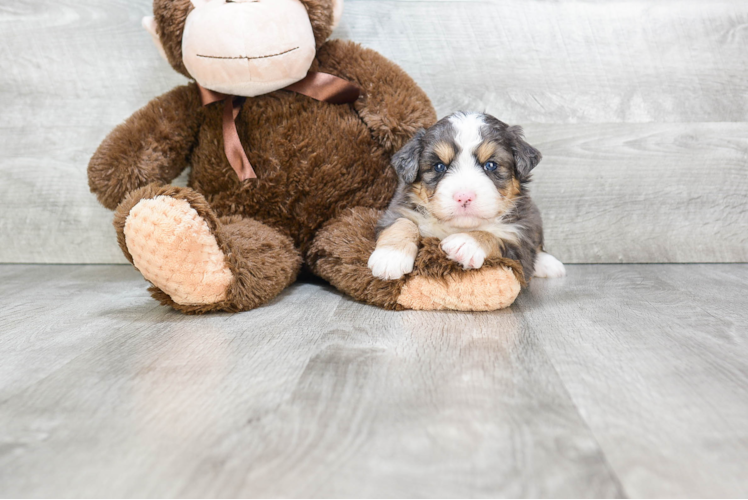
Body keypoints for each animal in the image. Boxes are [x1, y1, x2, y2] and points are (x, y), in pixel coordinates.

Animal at [368, 111, 568, 282]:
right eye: (439, 166)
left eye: (491, 165)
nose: (464, 197)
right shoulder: (398, 209)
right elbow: (402, 223)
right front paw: (390, 257)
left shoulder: (520, 239)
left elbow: (498, 236)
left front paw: (466, 243)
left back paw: (549, 265)